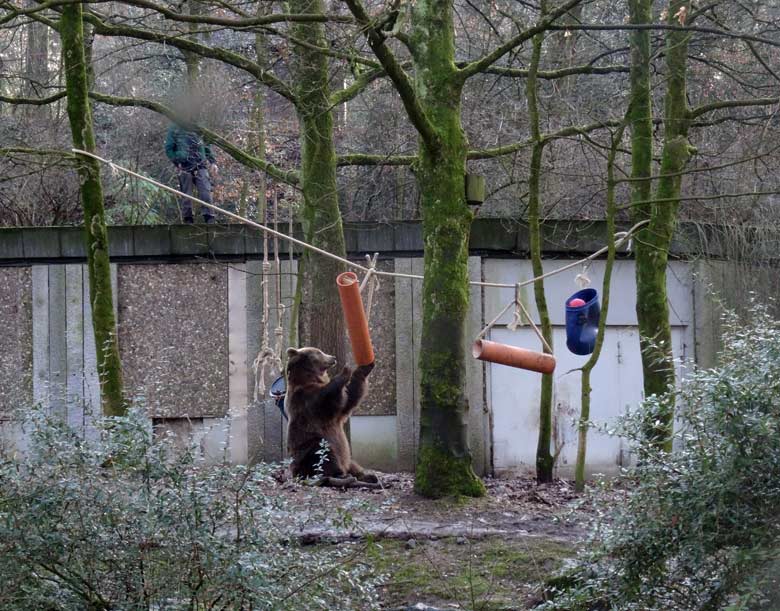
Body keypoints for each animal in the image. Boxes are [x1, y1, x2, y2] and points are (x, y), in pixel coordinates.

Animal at [284, 350, 380, 488]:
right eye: (319, 352)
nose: (333, 357)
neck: (310, 378)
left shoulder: (339, 409)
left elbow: (349, 397)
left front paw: (364, 367)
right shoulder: (304, 399)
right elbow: (326, 399)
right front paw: (345, 371)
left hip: (345, 457)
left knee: (351, 464)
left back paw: (368, 476)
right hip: (310, 446)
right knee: (324, 457)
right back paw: (342, 477)